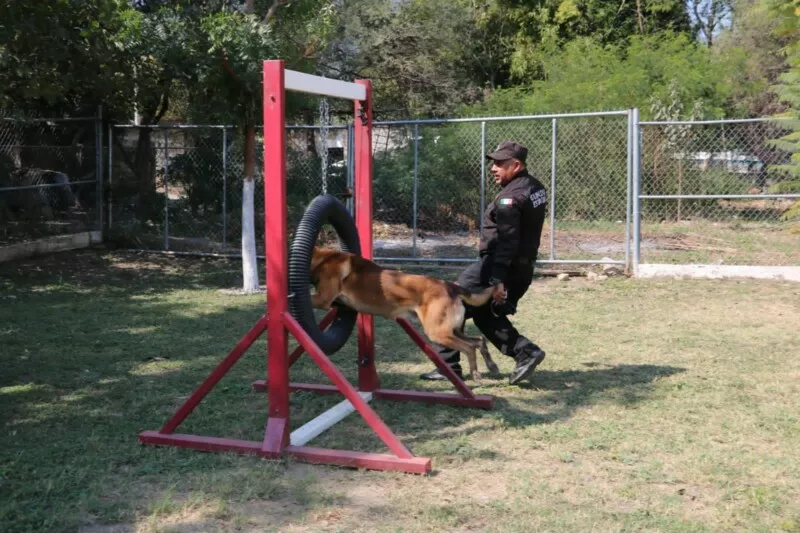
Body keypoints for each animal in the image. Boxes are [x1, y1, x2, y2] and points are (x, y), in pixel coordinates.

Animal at [310, 247, 496, 380]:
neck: (320, 258)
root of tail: (450, 286)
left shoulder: (322, 299)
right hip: (452, 330)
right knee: (479, 340)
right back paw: (491, 365)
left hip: (437, 332)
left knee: (469, 348)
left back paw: (476, 374)